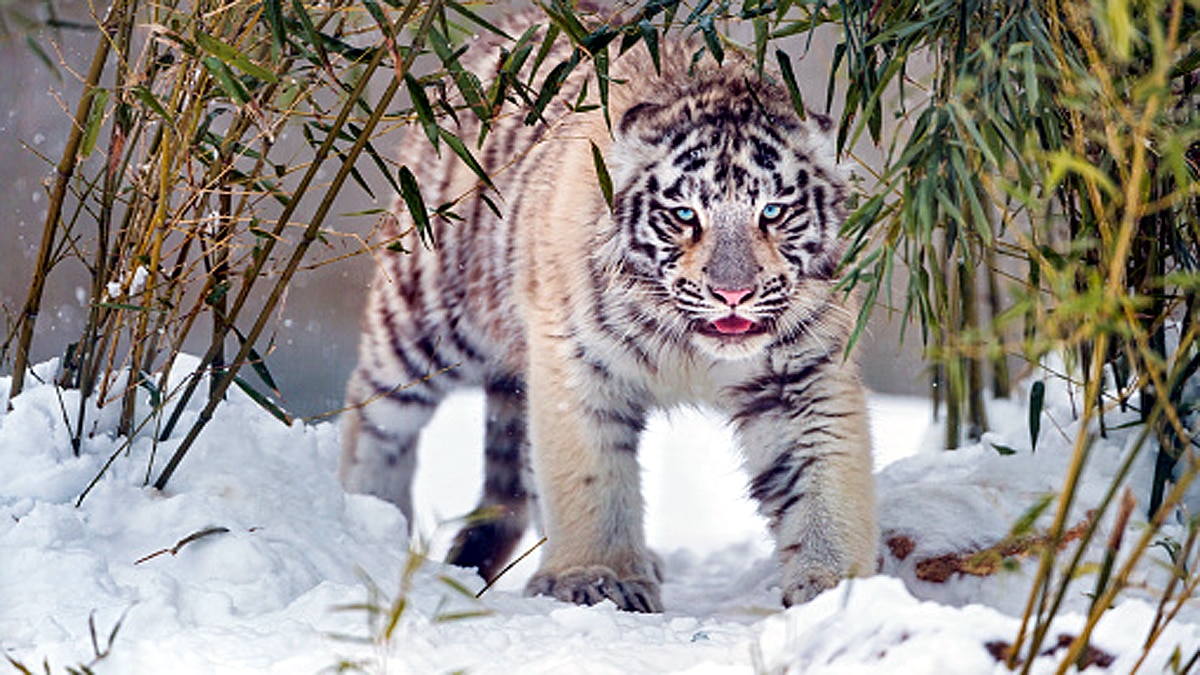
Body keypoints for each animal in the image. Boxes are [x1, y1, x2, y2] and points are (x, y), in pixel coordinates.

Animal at [339, 13, 878, 613]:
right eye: (684, 215)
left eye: (774, 212)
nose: (732, 293)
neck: (690, 343)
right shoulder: (576, 364)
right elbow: (591, 478)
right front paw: (596, 579)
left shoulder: (804, 375)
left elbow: (821, 476)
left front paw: (837, 589)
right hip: (425, 315)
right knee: (375, 419)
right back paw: (368, 525)